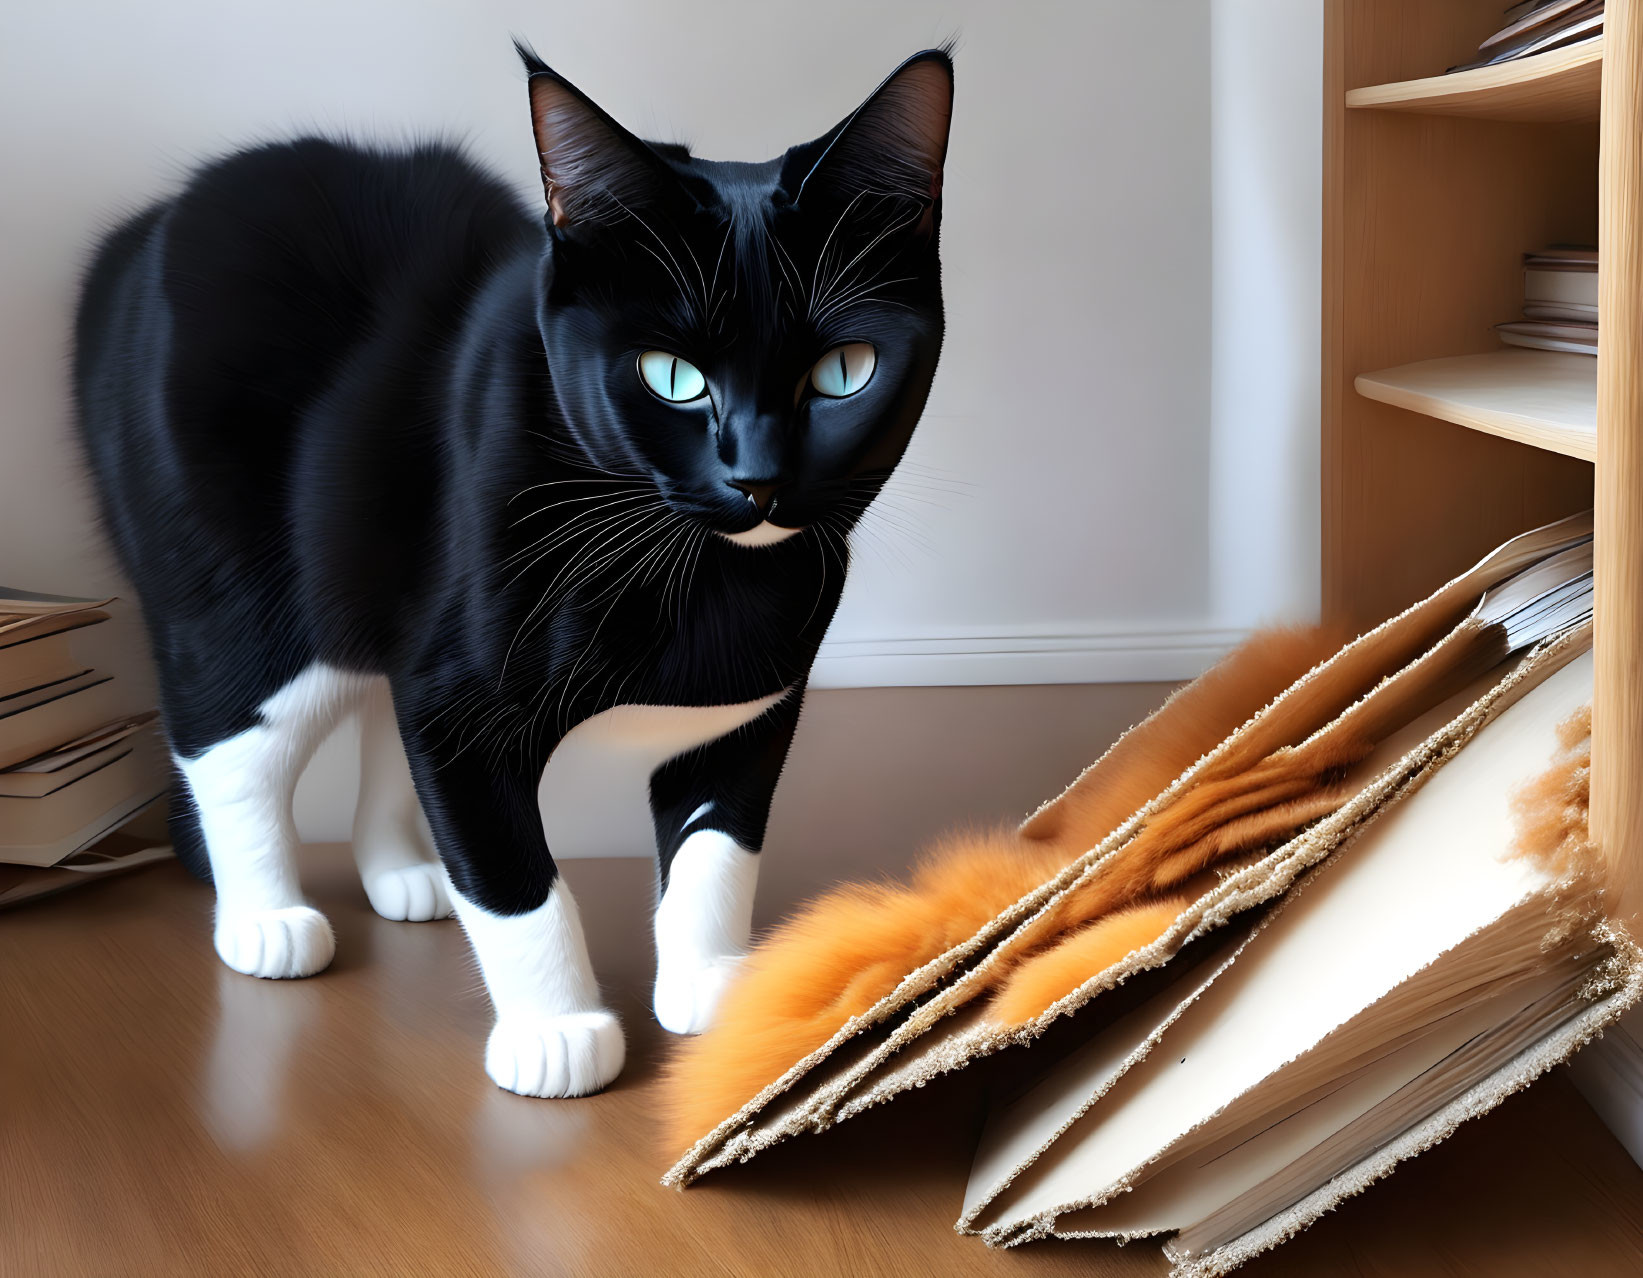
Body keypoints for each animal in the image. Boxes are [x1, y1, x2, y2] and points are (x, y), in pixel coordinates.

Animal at [73, 44, 952, 1090]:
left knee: (380, 709)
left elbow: (718, 847)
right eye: (671, 377)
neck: (691, 575)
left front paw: (713, 987)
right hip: (250, 600)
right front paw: (556, 1028)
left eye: (842, 372)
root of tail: (144, 230)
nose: (758, 479)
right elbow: (509, 871)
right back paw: (265, 916)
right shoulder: (464, 699)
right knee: (232, 740)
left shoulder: (752, 706)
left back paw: (403, 873)